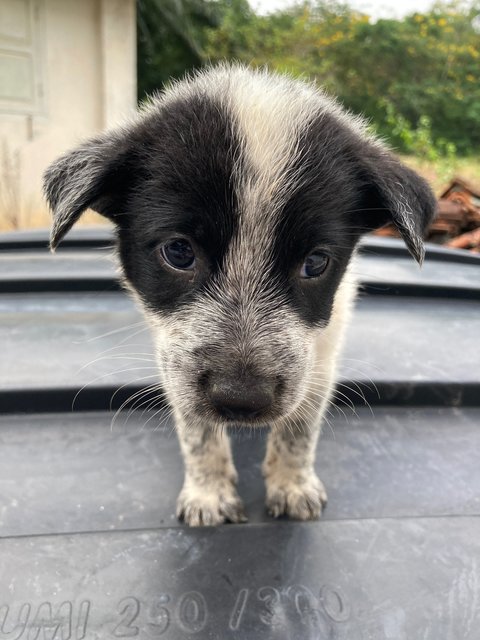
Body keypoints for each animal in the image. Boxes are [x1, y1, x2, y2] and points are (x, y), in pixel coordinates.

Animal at [43, 63, 436, 524]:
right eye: (179, 252)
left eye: (316, 263)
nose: (241, 401)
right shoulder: (174, 356)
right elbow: (196, 429)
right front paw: (209, 492)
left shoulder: (321, 350)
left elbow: (301, 426)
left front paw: (292, 484)